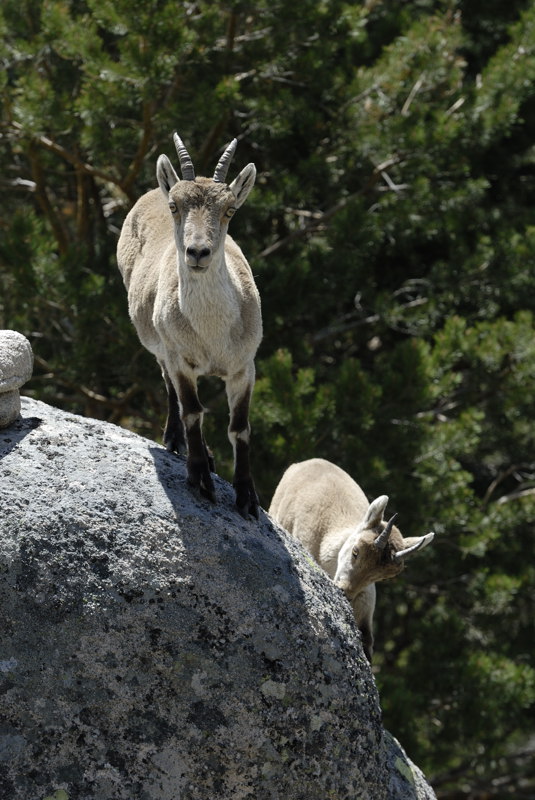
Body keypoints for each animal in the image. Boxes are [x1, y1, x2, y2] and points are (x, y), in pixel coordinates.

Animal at [117, 133, 262, 520]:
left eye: (229, 209)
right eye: (175, 206)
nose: (198, 252)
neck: (212, 336)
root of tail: (152, 190)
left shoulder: (244, 367)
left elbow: (240, 428)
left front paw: (247, 497)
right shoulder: (180, 357)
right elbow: (193, 411)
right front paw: (200, 478)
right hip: (159, 343)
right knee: (172, 391)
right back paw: (176, 440)